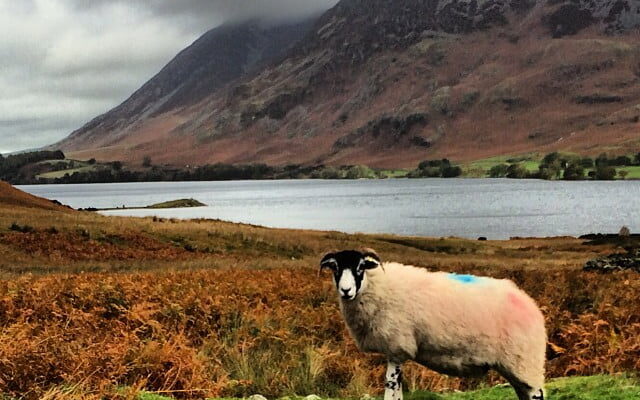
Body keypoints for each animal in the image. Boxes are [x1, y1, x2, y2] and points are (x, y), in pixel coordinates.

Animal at [319, 248, 546, 400]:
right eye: (335, 267)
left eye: (360, 267)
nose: (346, 290)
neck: (376, 286)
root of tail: (531, 304)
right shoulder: (394, 351)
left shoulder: (396, 347)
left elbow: (391, 387)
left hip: (525, 362)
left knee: (536, 393)